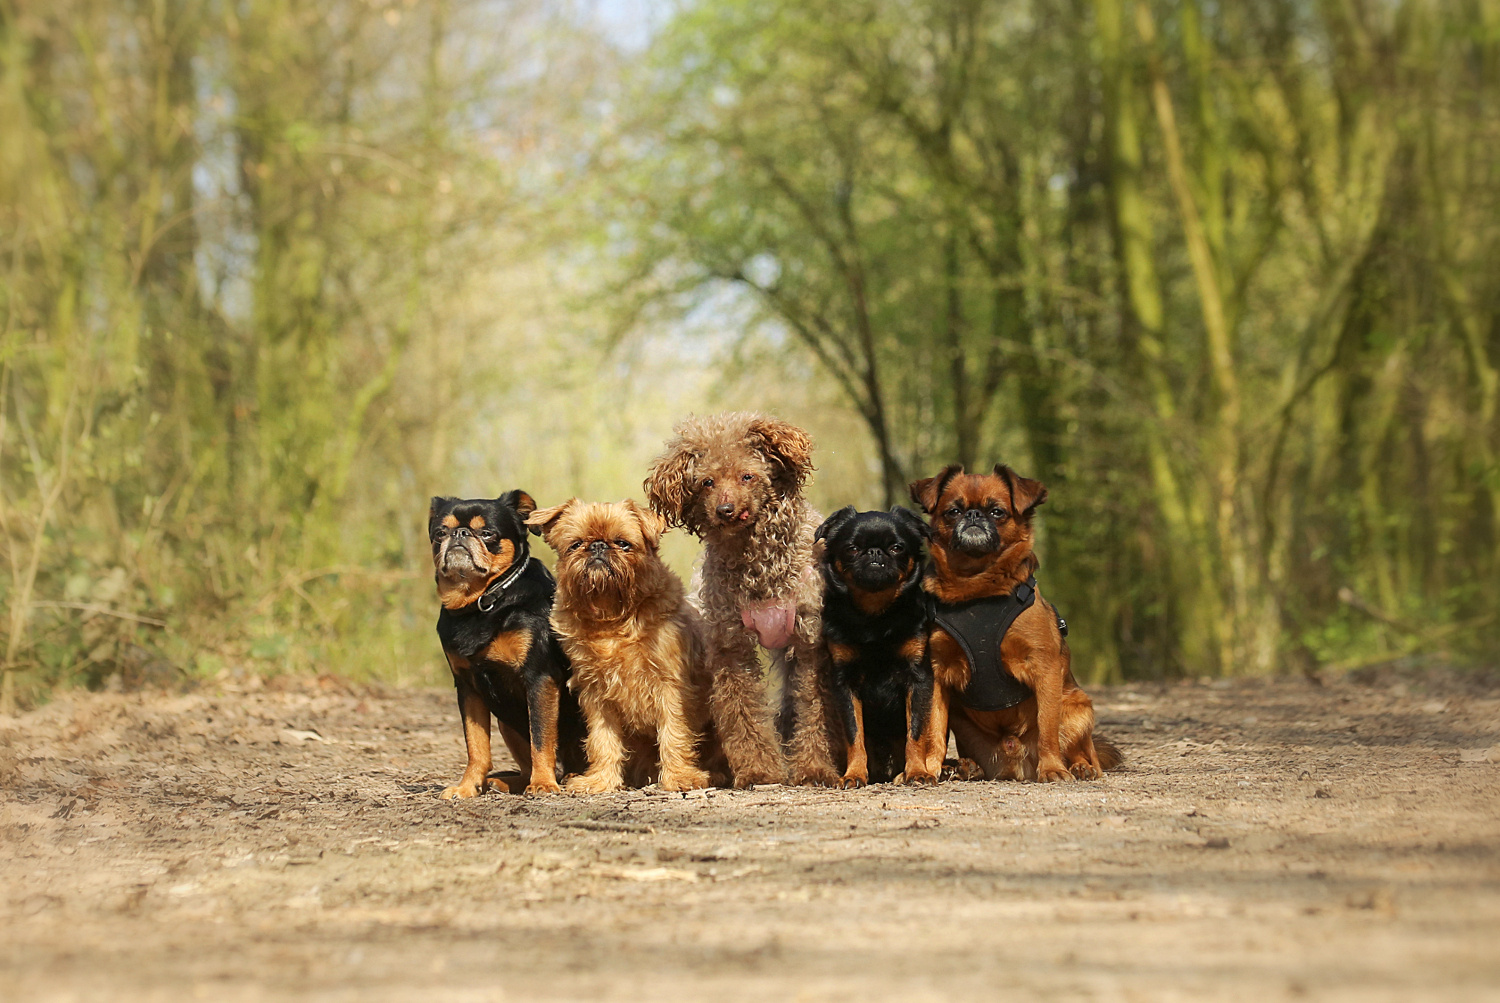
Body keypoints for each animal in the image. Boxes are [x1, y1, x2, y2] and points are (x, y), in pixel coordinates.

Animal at [432, 488, 588, 791]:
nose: (459, 534)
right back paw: (503, 783)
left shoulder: (539, 677)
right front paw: (467, 787)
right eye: (440, 533)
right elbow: (476, 745)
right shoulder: (467, 687)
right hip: (506, 722)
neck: (483, 600)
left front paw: (543, 784)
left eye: (487, 533)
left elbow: (541, 736)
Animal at [822, 503, 936, 785]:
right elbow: (854, 734)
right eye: (852, 548)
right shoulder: (844, 683)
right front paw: (853, 774)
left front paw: (917, 771)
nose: (874, 552)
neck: (875, 617)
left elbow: (915, 732)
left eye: (896, 547)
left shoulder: (918, 678)